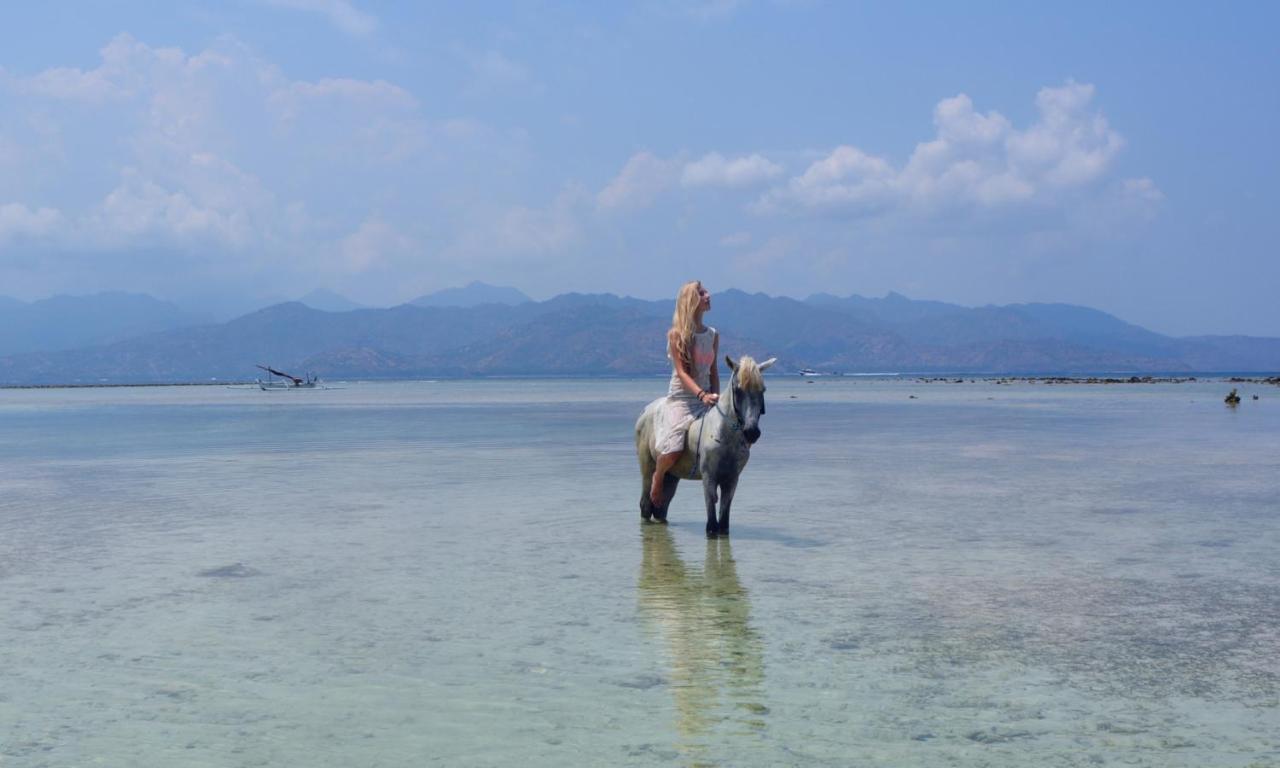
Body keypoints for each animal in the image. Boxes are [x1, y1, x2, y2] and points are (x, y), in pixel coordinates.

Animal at [634, 353, 773, 535]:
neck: (724, 436)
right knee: (645, 504)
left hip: (671, 475)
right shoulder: (709, 477)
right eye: (738, 390)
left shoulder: (732, 479)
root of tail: (645, 411)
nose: (752, 432)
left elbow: (724, 523)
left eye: (762, 390)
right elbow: (712, 524)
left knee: (661, 507)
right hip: (647, 469)